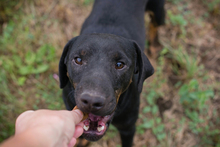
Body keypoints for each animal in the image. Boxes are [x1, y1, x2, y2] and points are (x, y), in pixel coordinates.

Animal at [58, 0, 165, 146]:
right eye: (78, 60)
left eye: (120, 64)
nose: (91, 101)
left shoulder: (128, 128)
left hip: (158, 10)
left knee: (155, 24)